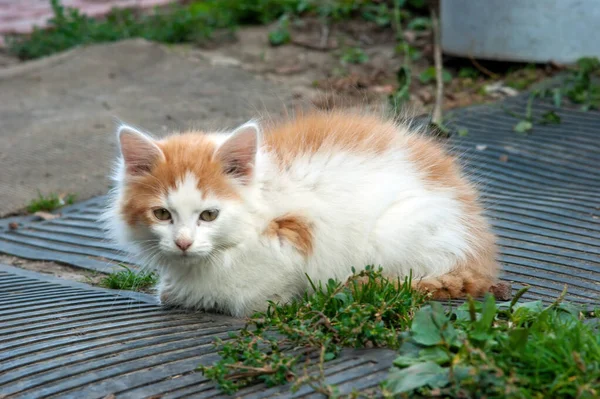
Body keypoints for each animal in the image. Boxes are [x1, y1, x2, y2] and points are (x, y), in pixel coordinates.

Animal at [104, 111, 502, 318]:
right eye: (162, 214)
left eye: (209, 215)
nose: (184, 243)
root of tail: (481, 257)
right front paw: (175, 289)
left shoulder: (293, 234)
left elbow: (251, 295)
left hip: (396, 233)